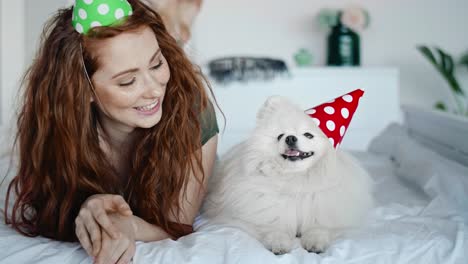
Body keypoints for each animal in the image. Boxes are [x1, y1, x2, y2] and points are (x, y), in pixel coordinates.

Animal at [200, 95, 372, 254]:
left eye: (308, 135)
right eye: (280, 135)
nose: (290, 138)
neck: (296, 179)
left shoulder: (324, 210)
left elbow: (319, 226)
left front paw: (315, 242)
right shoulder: (266, 211)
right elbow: (275, 226)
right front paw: (279, 243)